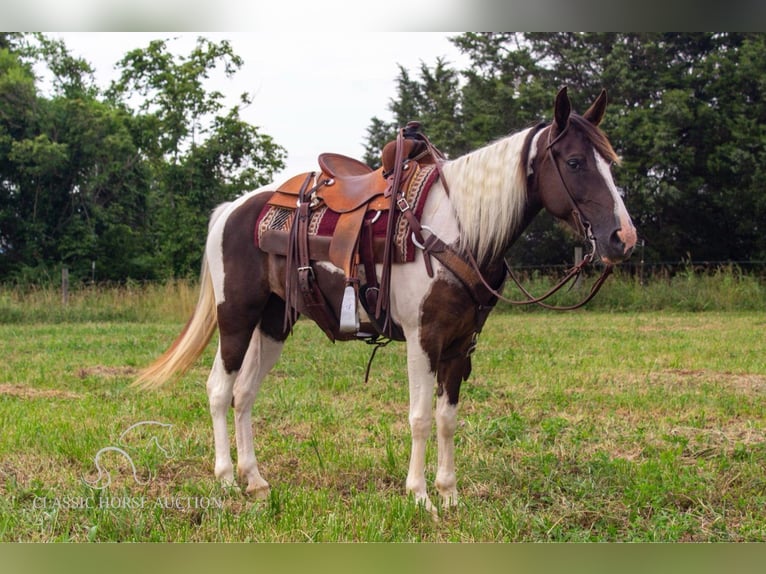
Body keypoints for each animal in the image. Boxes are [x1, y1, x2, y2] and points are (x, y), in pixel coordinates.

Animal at [135, 88, 640, 516]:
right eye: (574, 161)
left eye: (610, 161)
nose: (623, 238)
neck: (457, 228)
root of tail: (232, 210)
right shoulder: (423, 338)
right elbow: (420, 417)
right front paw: (420, 497)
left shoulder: (462, 345)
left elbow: (447, 418)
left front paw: (449, 493)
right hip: (236, 317)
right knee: (220, 390)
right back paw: (224, 479)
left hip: (274, 323)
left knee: (244, 394)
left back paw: (255, 481)